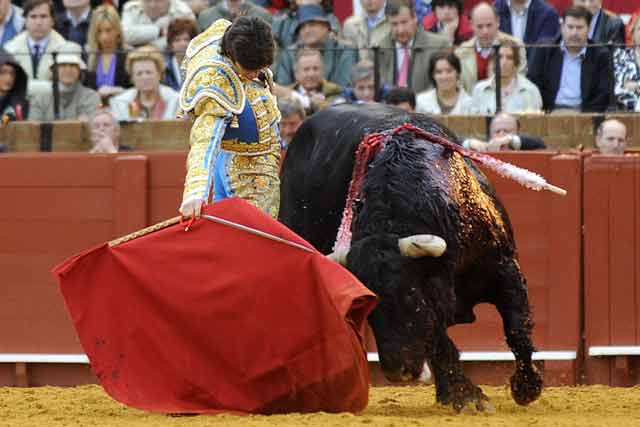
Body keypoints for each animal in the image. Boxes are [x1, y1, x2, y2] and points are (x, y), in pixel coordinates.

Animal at [278, 103, 544, 412]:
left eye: (409, 295)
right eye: (369, 308)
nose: (398, 373)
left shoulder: (504, 267)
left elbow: (517, 327)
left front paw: (527, 388)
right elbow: (438, 340)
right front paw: (467, 398)